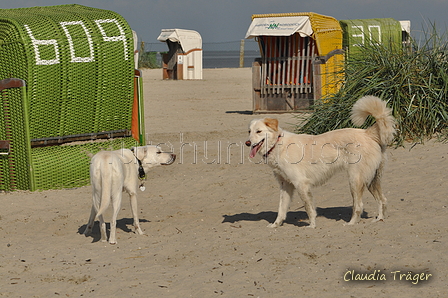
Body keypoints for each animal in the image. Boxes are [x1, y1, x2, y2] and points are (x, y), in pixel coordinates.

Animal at [245, 95, 396, 228]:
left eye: (259, 131)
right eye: (249, 131)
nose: (247, 143)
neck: (277, 144)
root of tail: (367, 133)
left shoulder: (301, 184)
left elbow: (309, 208)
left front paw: (312, 225)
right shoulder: (286, 185)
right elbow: (281, 209)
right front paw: (276, 225)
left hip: (355, 180)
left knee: (359, 206)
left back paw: (351, 223)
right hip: (371, 179)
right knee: (382, 200)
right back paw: (379, 219)